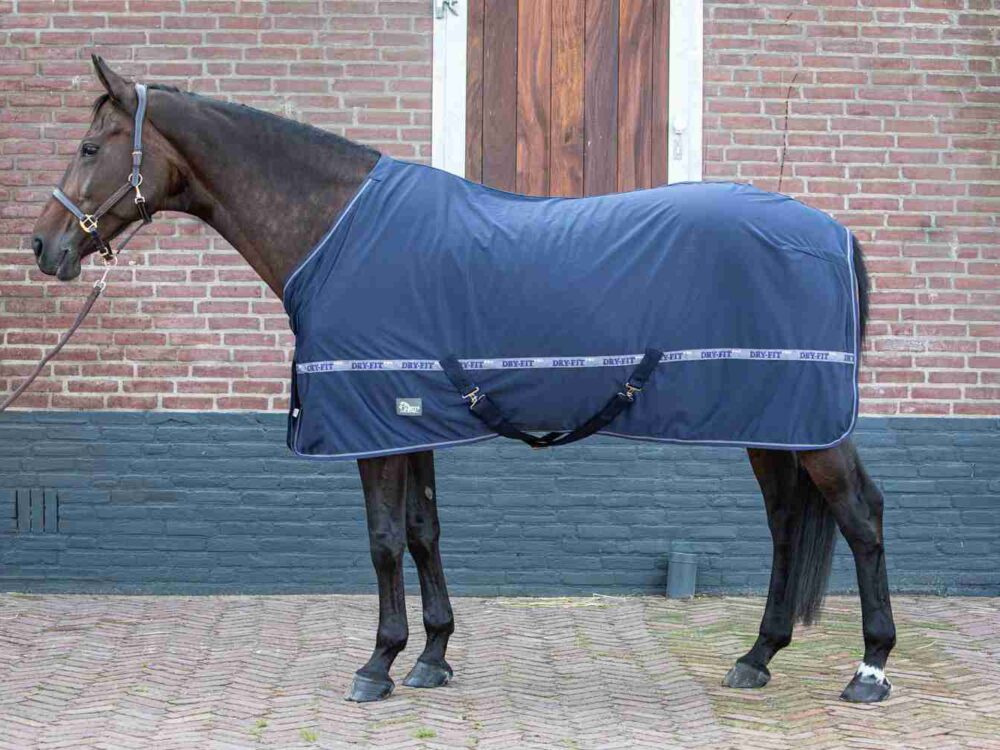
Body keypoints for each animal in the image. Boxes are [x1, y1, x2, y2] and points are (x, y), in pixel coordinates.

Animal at [27, 56, 896, 704]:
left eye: (91, 147)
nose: (43, 246)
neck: (336, 230)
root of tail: (833, 233)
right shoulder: (410, 417)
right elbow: (423, 532)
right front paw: (433, 656)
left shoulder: (374, 423)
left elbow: (383, 541)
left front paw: (378, 664)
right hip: (774, 425)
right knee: (787, 526)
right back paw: (757, 657)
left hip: (810, 428)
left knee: (860, 517)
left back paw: (870, 668)